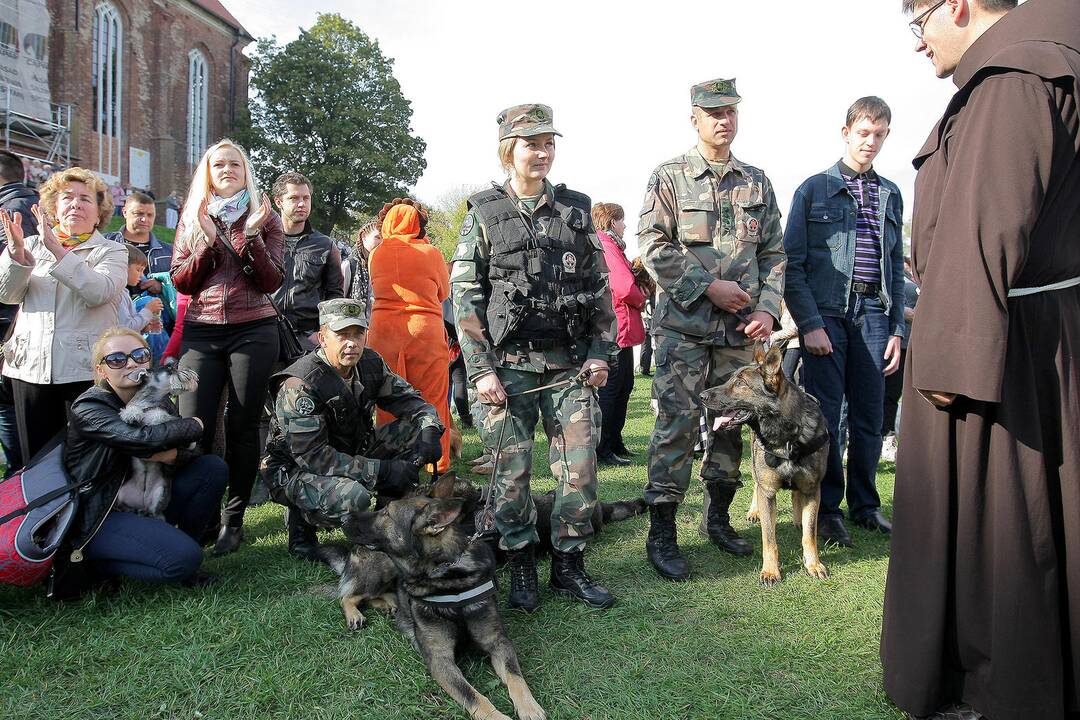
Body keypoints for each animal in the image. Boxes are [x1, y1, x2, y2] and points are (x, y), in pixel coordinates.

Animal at [117, 367, 201, 518]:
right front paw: (131, 415)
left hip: (160, 493)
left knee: (155, 512)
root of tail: (142, 502)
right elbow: (131, 409)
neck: (149, 402)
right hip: (121, 495)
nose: (190, 372)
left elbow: (161, 415)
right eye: (170, 369)